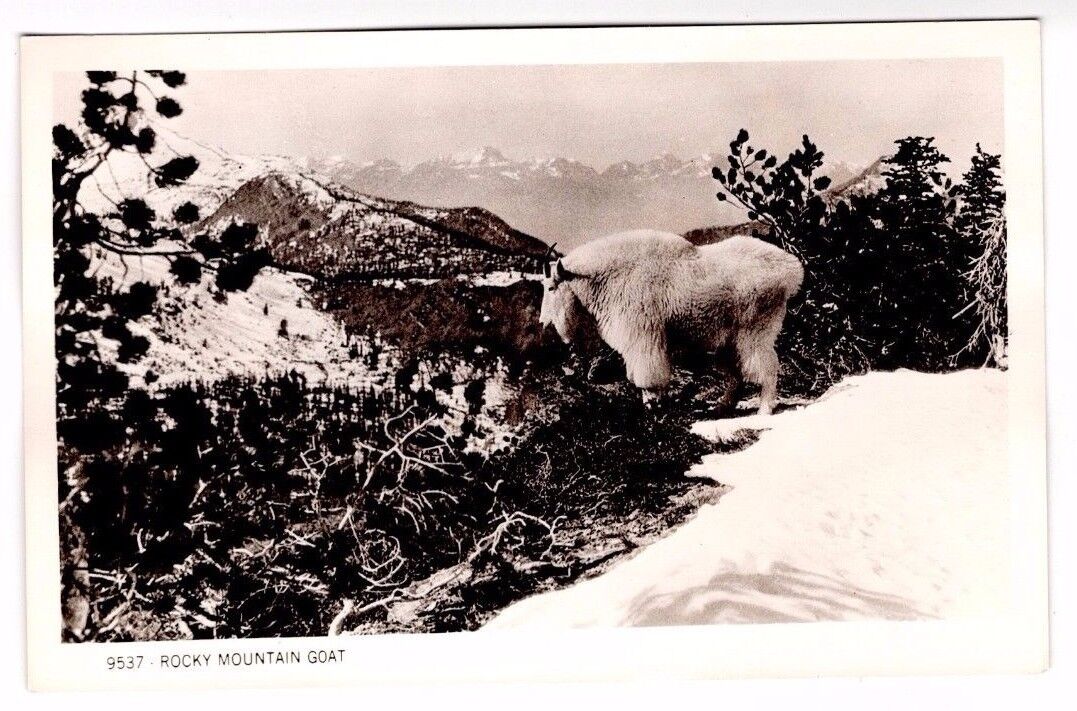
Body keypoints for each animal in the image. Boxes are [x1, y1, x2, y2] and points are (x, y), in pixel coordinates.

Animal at [538, 230, 801, 413]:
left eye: (550, 288)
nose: (544, 324)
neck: (607, 277)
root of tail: (791, 271)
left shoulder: (644, 336)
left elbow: (648, 376)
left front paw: (653, 406)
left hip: (756, 331)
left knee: (767, 367)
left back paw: (765, 409)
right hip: (729, 341)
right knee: (735, 375)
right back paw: (720, 406)